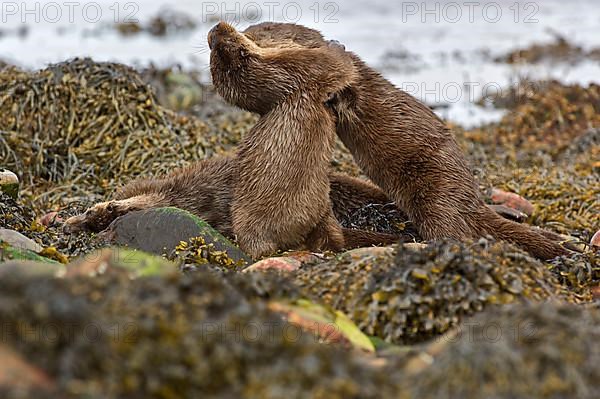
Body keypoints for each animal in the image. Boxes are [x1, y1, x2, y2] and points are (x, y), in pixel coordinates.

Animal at [209, 21, 360, 260]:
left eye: (214, 41)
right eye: (228, 34)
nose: (216, 26)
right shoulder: (303, 67)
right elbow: (338, 65)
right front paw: (336, 45)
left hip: (323, 209)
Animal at [237, 22, 568, 260]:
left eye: (260, 31)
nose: (241, 33)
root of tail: (470, 198)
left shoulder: (357, 82)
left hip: (436, 194)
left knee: (452, 228)